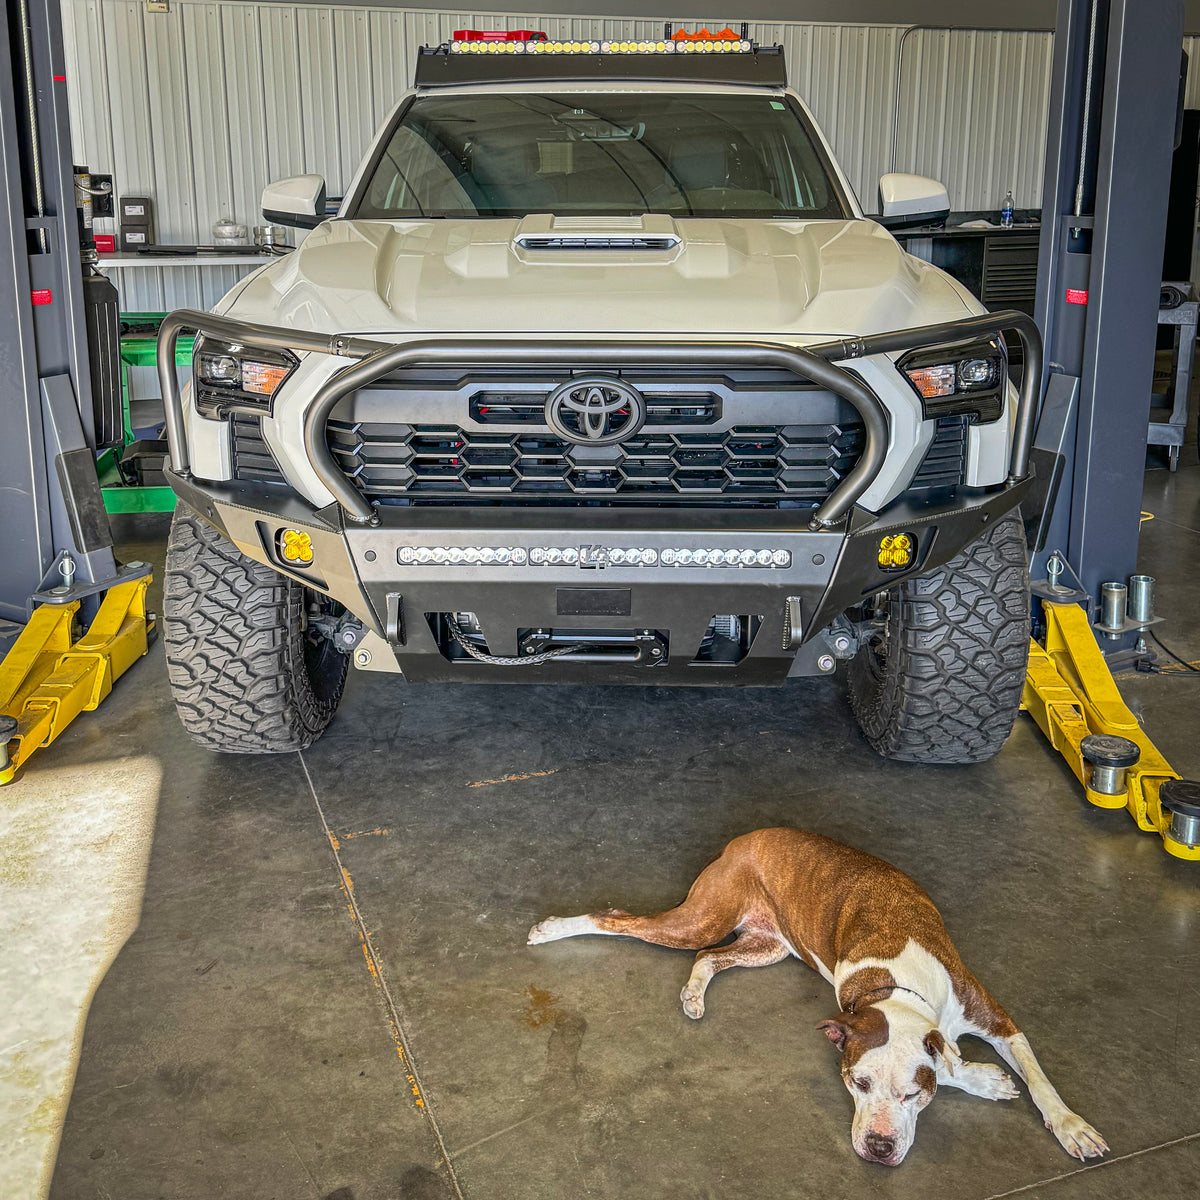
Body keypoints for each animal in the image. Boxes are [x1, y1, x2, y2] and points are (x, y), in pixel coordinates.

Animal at [525, 825, 1104, 1161]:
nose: (878, 1146)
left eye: (912, 1095)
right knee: (621, 920)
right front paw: (984, 1078)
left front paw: (1071, 1126)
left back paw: (693, 995)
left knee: (706, 957)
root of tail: (745, 838)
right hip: (702, 918)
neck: (898, 987)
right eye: (857, 1083)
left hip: (767, 945)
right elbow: (953, 1064)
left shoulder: (996, 1017)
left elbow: (1037, 1078)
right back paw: (553, 929)